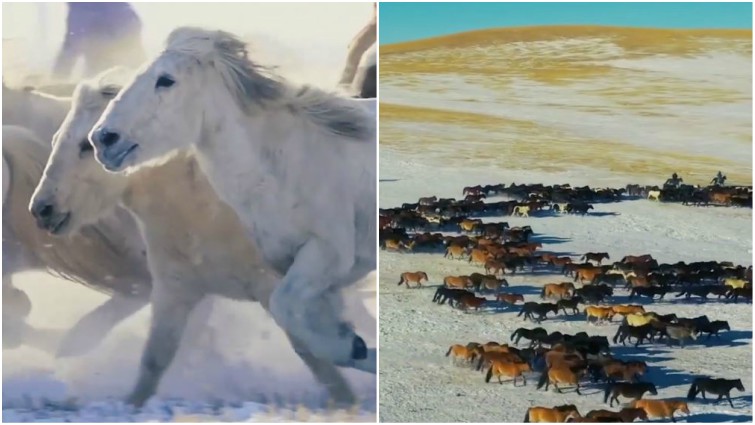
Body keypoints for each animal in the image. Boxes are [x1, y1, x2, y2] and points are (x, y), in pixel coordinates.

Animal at [29, 73, 361, 407]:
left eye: (86, 144)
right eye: (56, 139)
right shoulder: (175, 291)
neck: (205, 208)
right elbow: (154, 359)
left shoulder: (273, 285)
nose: (41, 209)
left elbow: (312, 353)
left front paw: (347, 394)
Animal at [90, 27, 376, 373]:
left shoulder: (328, 252)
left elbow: (283, 306)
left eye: (166, 80)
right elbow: (301, 318)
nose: (103, 139)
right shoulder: (298, 268)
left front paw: (353, 347)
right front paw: (353, 344)